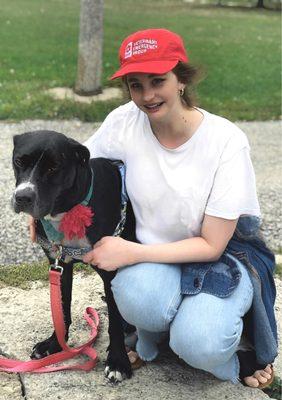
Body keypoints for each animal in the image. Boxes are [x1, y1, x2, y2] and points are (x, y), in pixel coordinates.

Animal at [11, 130, 137, 382]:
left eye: (53, 167)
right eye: (19, 161)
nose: (23, 197)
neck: (69, 209)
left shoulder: (111, 271)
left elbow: (115, 321)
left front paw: (118, 360)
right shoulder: (59, 264)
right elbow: (62, 307)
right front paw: (54, 344)